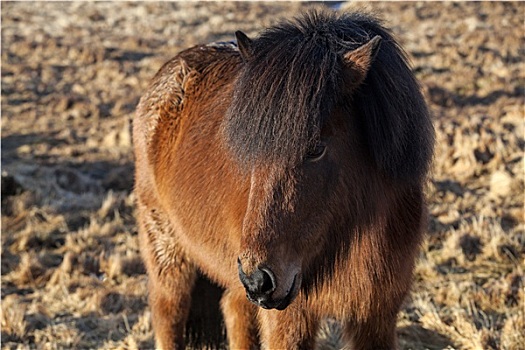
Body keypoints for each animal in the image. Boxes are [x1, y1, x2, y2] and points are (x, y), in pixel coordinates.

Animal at [134, 8, 434, 350]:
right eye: (250, 146)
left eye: (316, 148)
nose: (259, 279)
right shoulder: (290, 319)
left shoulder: (377, 316)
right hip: (169, 255)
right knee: (168, 315)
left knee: (235, 311)